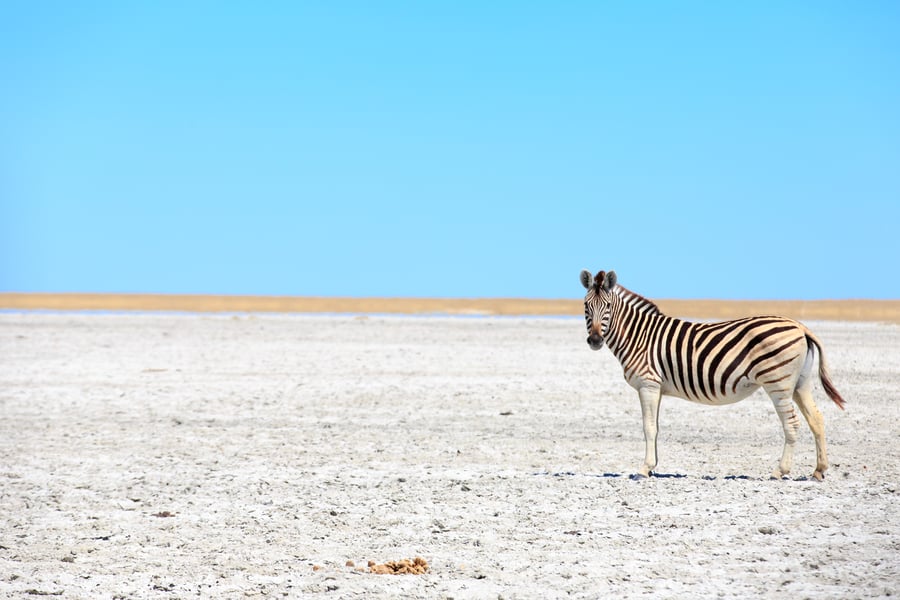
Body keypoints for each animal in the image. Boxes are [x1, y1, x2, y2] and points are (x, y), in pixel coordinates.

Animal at [580, 269, 845, 480]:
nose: (594, 341)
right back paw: (819, 470)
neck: (638, 335)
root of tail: (800, 326)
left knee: (792, 423)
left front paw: (644, 469)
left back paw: (780, 471)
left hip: (777, 383)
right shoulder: (657, 388)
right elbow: (656, 427)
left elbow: (648, 427)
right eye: (586, 306)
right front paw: (653, 466)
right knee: (816, 419)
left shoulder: (648, 384)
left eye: (608, 307)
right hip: (800, 383)